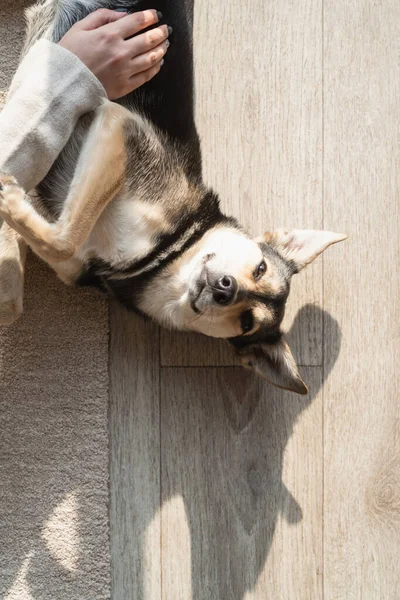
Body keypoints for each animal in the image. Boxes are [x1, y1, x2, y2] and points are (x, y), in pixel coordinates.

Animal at [0, 0, 346, 394]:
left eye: (247, 322)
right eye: (260, 267)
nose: (225, 289)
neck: (163, 254)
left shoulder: (69, 255)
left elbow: (33, 273)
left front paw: (11, 199)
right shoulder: (120, 125)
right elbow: (68, 235)